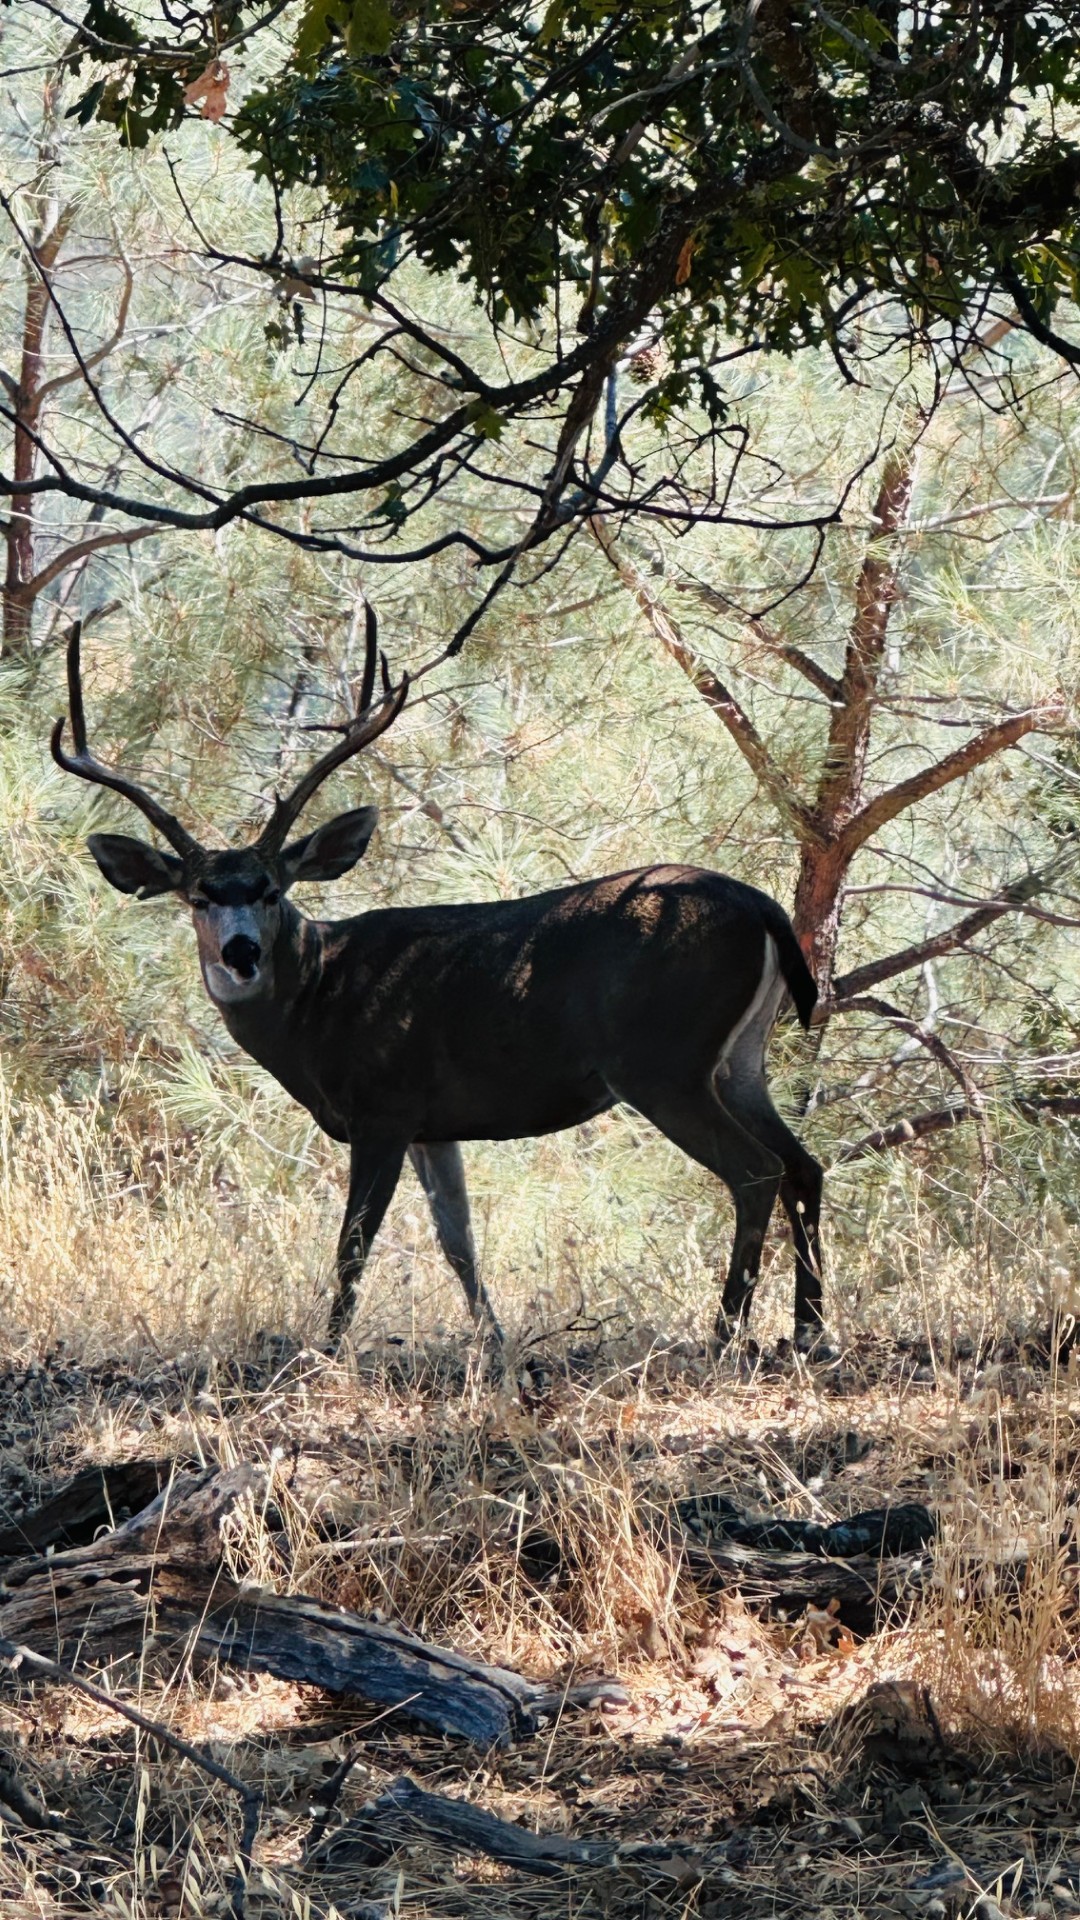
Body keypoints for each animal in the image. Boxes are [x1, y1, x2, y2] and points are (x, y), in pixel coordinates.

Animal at [52, 615, 828, 1357]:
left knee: (755, 1171)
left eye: (272, 890)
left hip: (662, 1059)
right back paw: (809, 1330)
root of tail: (761, 907)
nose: (241, 952)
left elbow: (354, 1243)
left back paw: (726, 1334)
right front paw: (497, 1346)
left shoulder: (384, 1105)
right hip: (738, 1060)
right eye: (197, 897)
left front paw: (326, 1350)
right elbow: (459, 1243)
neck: (322, 997)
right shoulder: (436, 1123)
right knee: (804, 1165)